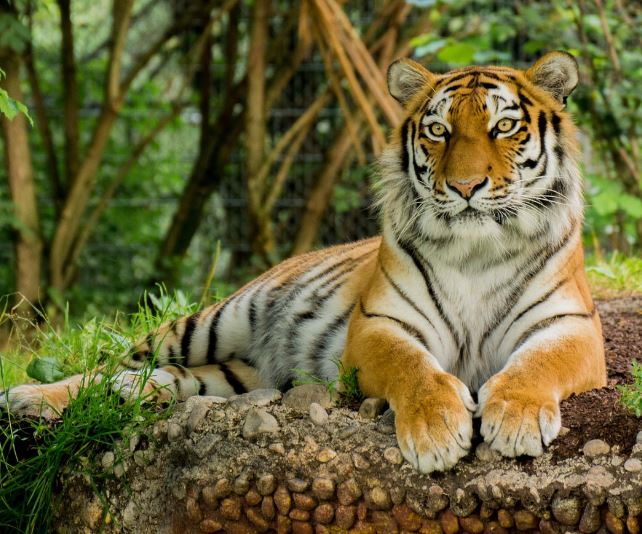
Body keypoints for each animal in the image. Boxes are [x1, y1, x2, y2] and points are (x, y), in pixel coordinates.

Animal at [1, 51, 606, 473]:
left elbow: (536, 365)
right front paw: (437, 430)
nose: (464, 186)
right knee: (111, 364)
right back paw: (27, 397)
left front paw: (517, 419)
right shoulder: (378, 326)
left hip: (233, 374)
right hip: (211, 321)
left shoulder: (570, 327)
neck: (477, 250)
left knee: (163, 378)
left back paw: (132, 392)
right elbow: (414, 369)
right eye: (438, 130)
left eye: (504, 127)